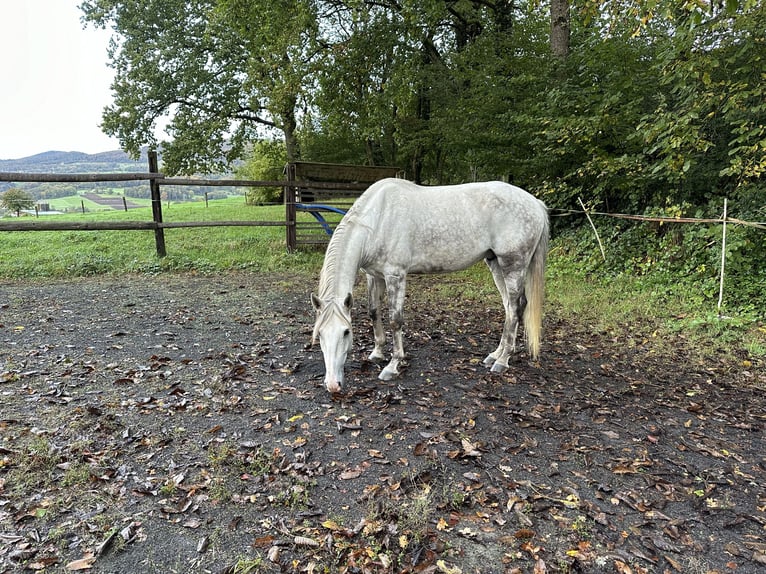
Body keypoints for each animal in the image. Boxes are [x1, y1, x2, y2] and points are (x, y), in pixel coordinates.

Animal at [314, 180, 552, 396]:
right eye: (319, 335)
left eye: (346, 332)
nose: (333, 385)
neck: (378, 219)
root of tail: (535, 203)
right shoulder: (374, 275)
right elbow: (374, 312)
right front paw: (377, 353)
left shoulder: (395, 276)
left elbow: (395, 320)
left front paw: (393, 365)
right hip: (495, 263)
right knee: (511, 308)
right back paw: (495, 354)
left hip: (513, 265)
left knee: (514, 309)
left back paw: (502, 361)